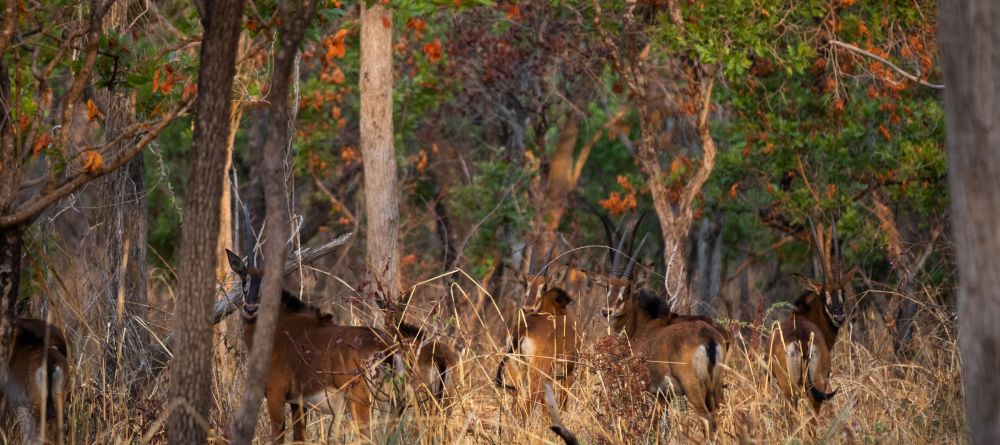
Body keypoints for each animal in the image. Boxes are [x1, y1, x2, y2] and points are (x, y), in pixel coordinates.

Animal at [227, 208, 454, 440]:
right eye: (243, 277)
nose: (250, 308)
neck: (280, 328)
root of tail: (388, 348)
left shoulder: (276, 395)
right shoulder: (298, 402)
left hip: (362, 400)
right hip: (392, 403)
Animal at [496, 243, 584, 420]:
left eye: (543, 286)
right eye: (526, 284)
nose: (528, 308)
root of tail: (522, 330)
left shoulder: (549, 379)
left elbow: (546, 409)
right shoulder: (568, 372)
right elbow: (562, 405)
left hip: (518, 372)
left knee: (516, 407)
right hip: (537, 373)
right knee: (527, 407)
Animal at [592, 225, 728, 430]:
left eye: (628, 289)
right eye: (607, 286)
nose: (606, 311)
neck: (642, 327)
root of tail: (709, 338)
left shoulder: (650, 389)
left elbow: (653, 423)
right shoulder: (666, 394)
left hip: (692, 387)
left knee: (707, 420)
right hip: (715, 386)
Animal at [768, 219, 856, 412]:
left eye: (843, 292)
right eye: (824, 294)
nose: (839, 317)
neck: (805, 316)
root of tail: (801, 340)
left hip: (796, 387)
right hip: (813, 384)